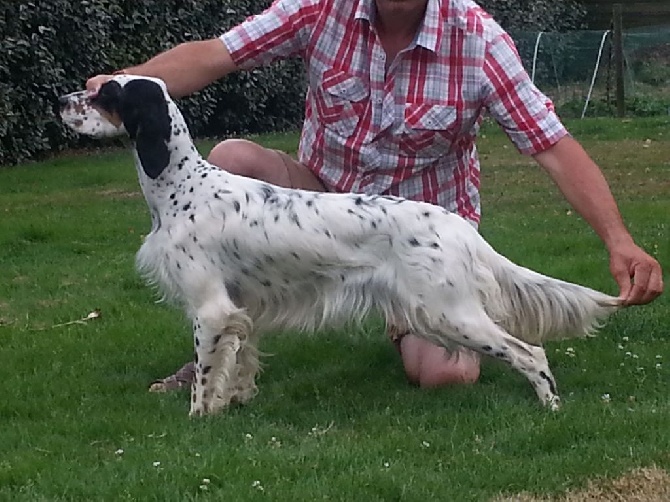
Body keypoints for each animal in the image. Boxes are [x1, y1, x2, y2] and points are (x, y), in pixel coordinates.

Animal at [59, 76, 624, 416]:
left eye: (106, 95)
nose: (61, 101)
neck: (181, 186)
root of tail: (458, 226)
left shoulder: (210, 307)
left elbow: (205, 375)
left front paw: (199, 419)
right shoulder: (241, 307)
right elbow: (239, 362)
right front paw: (238, 401)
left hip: (451, 312)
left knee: (530, 351)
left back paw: (550, 408)